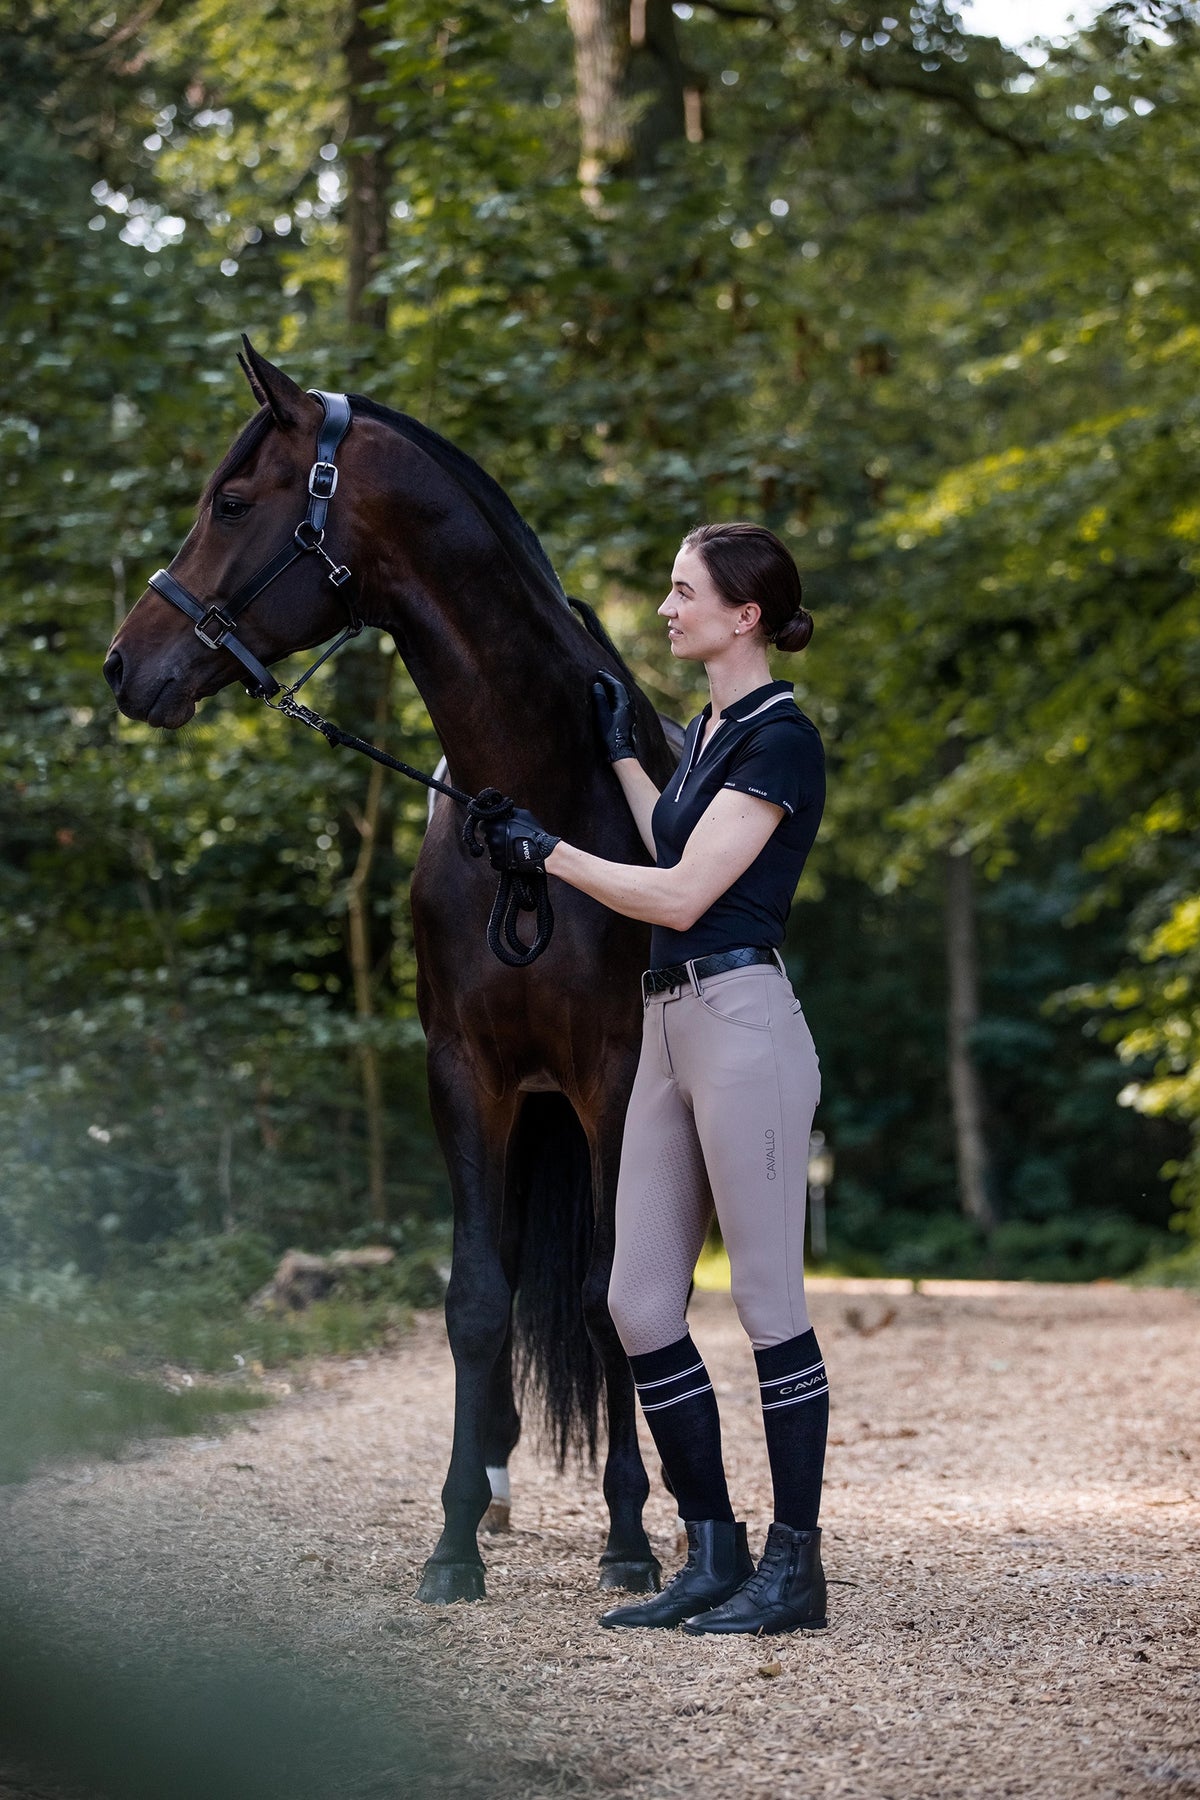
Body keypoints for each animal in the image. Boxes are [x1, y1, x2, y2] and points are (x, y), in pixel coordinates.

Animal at [103, 339, 680, 1604]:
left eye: (231, 501)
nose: (125, 664)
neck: (534, 809)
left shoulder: (613, 1077)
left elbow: (607, 1295)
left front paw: (626, 1532)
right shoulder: (462, 1074)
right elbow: (474, 1301)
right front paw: (454, 1538)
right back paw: (502, 1482)